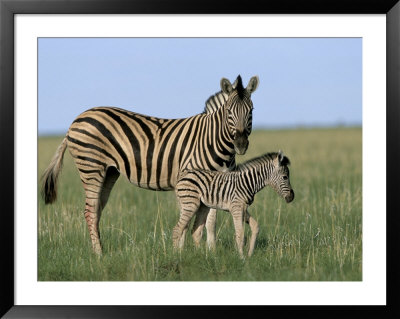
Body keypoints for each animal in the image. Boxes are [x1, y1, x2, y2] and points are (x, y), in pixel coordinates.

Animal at [41, 74, 260, 255]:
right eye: (229, 111)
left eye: (251, 111)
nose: (241, 144)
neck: (212, 140)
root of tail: (76, 120)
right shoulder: (191, 179)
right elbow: (190, 220)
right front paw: (181, 252)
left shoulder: (216, 183)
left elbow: (210, 221)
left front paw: (211, 252)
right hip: (91, 166)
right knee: (90, 211)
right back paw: (98, 255)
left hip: (109, 171)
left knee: (97, 209)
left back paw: (100, 249)